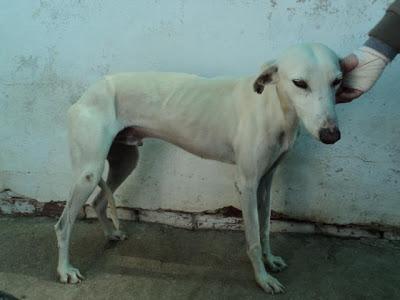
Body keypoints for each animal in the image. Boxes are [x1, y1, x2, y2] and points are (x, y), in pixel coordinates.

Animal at [54, 42, 344, 292]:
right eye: (299, 83)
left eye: (337, 81)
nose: (331, 135)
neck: (273, 107)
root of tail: (85, 94)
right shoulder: (247, 183)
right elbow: (252, 236)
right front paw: (262, 279)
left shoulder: (266, 180)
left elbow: (264, 228)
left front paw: (270, 260)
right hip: (88, 173)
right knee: (63, 224)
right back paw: (65, 270)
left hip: (125, 162)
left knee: (98, 201)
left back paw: (111, 234)